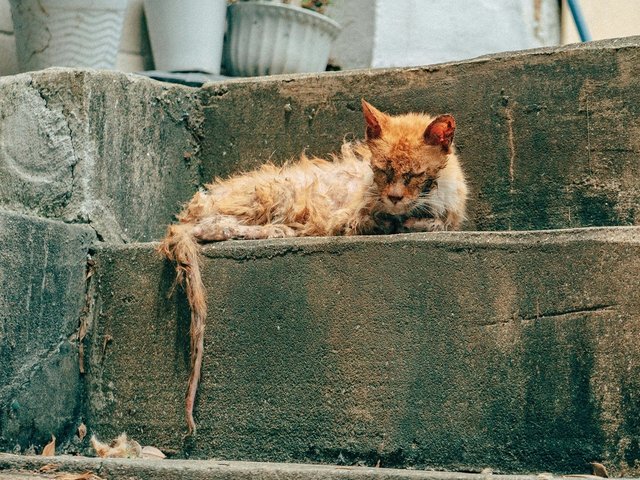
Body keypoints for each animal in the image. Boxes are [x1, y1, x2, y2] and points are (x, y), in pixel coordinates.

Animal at [159, 99, 470, 434]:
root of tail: (187, 212)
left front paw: (417, 220)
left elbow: (440, 222)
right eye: (382, 171)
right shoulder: (352, 219)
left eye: (413, 174)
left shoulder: (445, 214)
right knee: (208, 227)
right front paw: (398, 220)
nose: (395, 198)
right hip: (274, 194)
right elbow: (380, 221)